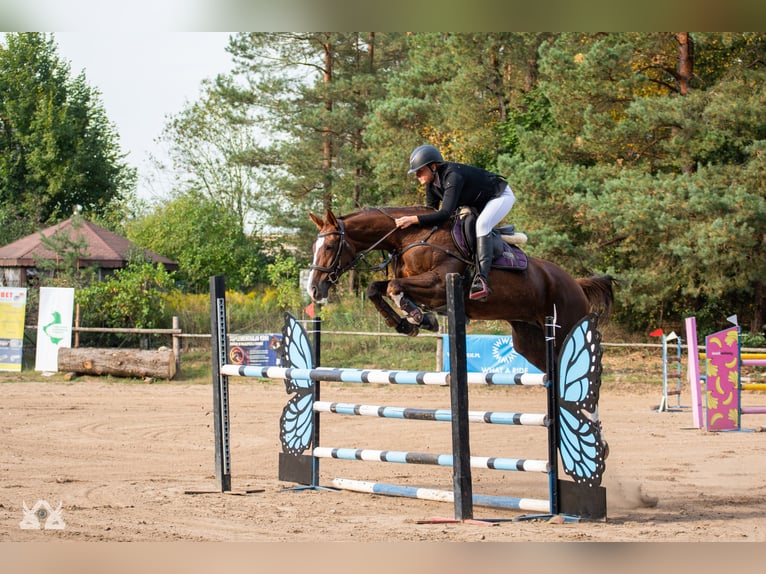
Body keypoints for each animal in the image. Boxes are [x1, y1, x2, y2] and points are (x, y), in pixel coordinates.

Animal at [308, 207, 616, 374]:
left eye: (329, 246)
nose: (313, 289)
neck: (410, 237)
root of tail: (575, 283)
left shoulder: (438, 283)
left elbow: (395, 288)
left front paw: (420, 318)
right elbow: (375, 288)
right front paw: (404, 324)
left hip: (565, 329)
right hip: (529, 340)